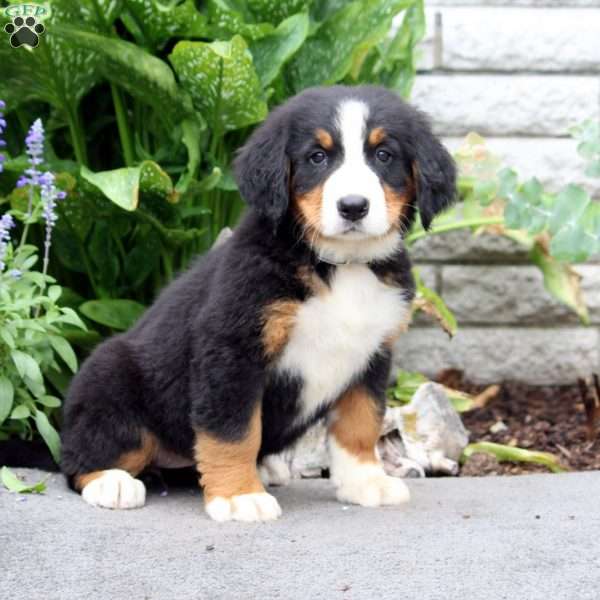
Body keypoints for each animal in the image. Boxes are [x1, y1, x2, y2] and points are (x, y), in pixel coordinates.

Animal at [59, 84, 454, 520]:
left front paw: (364, 482)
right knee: (79, 458)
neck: (338, 265)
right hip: (111, 378)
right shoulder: (233, 350)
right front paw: (238, 496)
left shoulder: (371, 355)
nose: (353, 206)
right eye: (317, 157)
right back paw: (110, 482)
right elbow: (234, 431)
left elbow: (359, 423)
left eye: (384, 155)